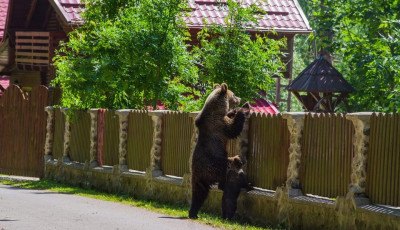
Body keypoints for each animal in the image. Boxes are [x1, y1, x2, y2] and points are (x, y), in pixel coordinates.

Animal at [188, 83, 250, 219]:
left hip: (199, 177)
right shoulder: (218, 125)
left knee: (199, 193)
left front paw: (233, 111)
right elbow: (233, 128)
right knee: (229, 169)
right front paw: (244, 108)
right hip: (217, 165)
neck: (217, 110)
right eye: (233, 94)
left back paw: (193, 212)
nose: (239, 98)